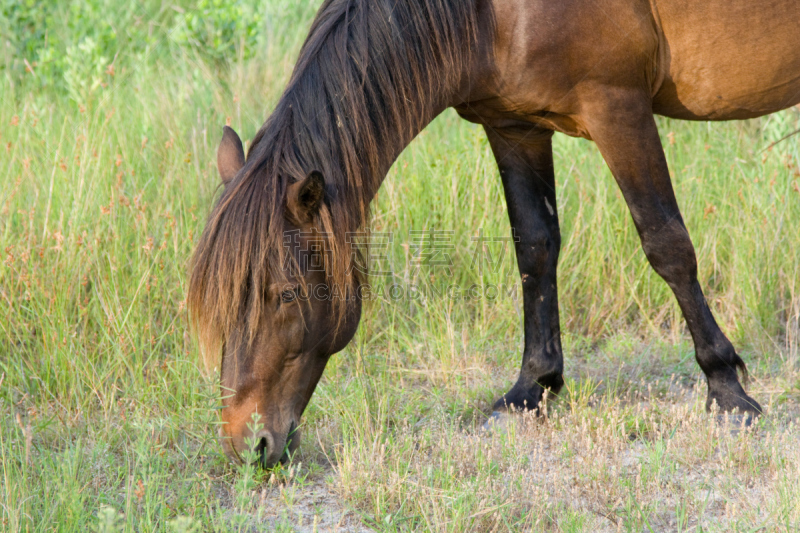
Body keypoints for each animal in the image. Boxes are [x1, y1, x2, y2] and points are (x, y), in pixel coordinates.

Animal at [189, 0, 800, 466]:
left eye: (287, 295)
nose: (247, 444)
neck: (492, 13)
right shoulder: (514, 126)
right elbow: (535, 247)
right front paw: (531, 389)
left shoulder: (618, 108)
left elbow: (667, 244)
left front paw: (727, 390)